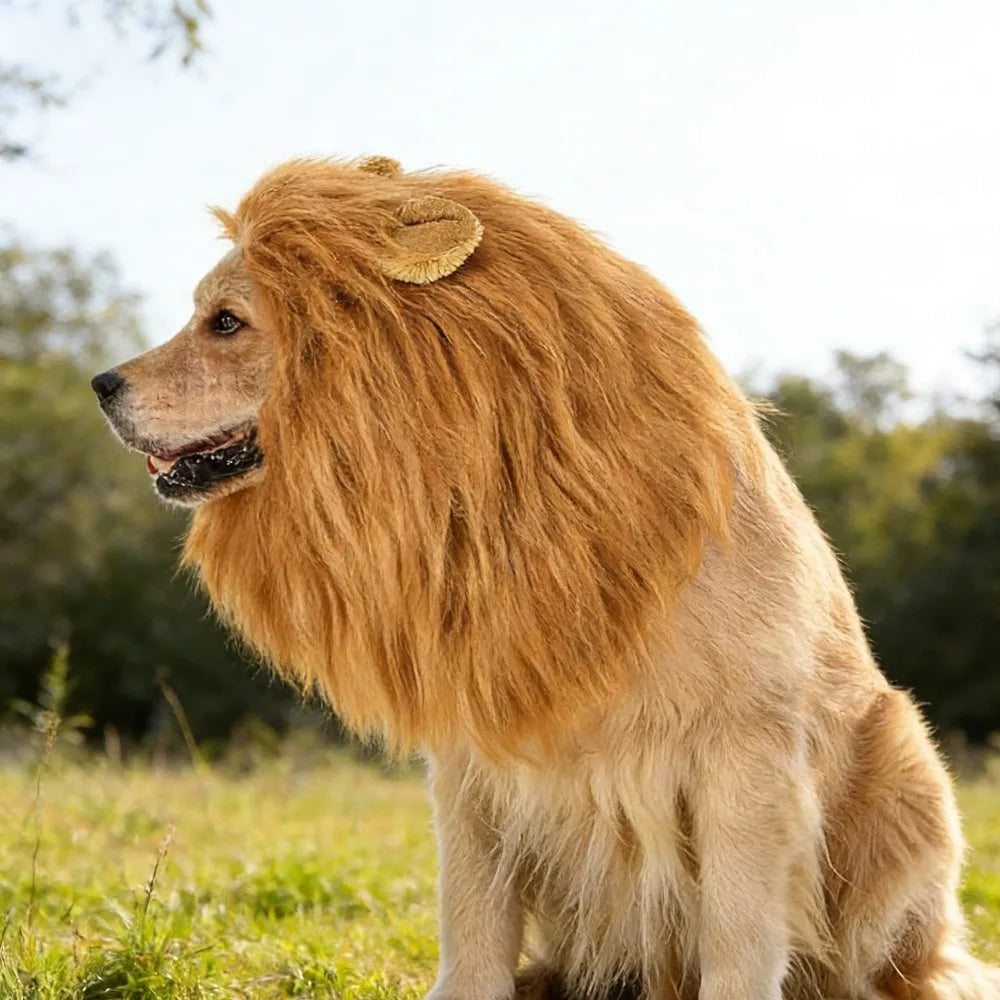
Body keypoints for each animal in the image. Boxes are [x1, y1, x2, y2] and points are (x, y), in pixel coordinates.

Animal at [92, 155, 1000, 1000]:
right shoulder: (474, 759)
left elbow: (740, 935)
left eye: (227, 322)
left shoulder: (746, 750)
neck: (486, 494)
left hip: (906, 759)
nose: (101, 383)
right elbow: (472, 931)